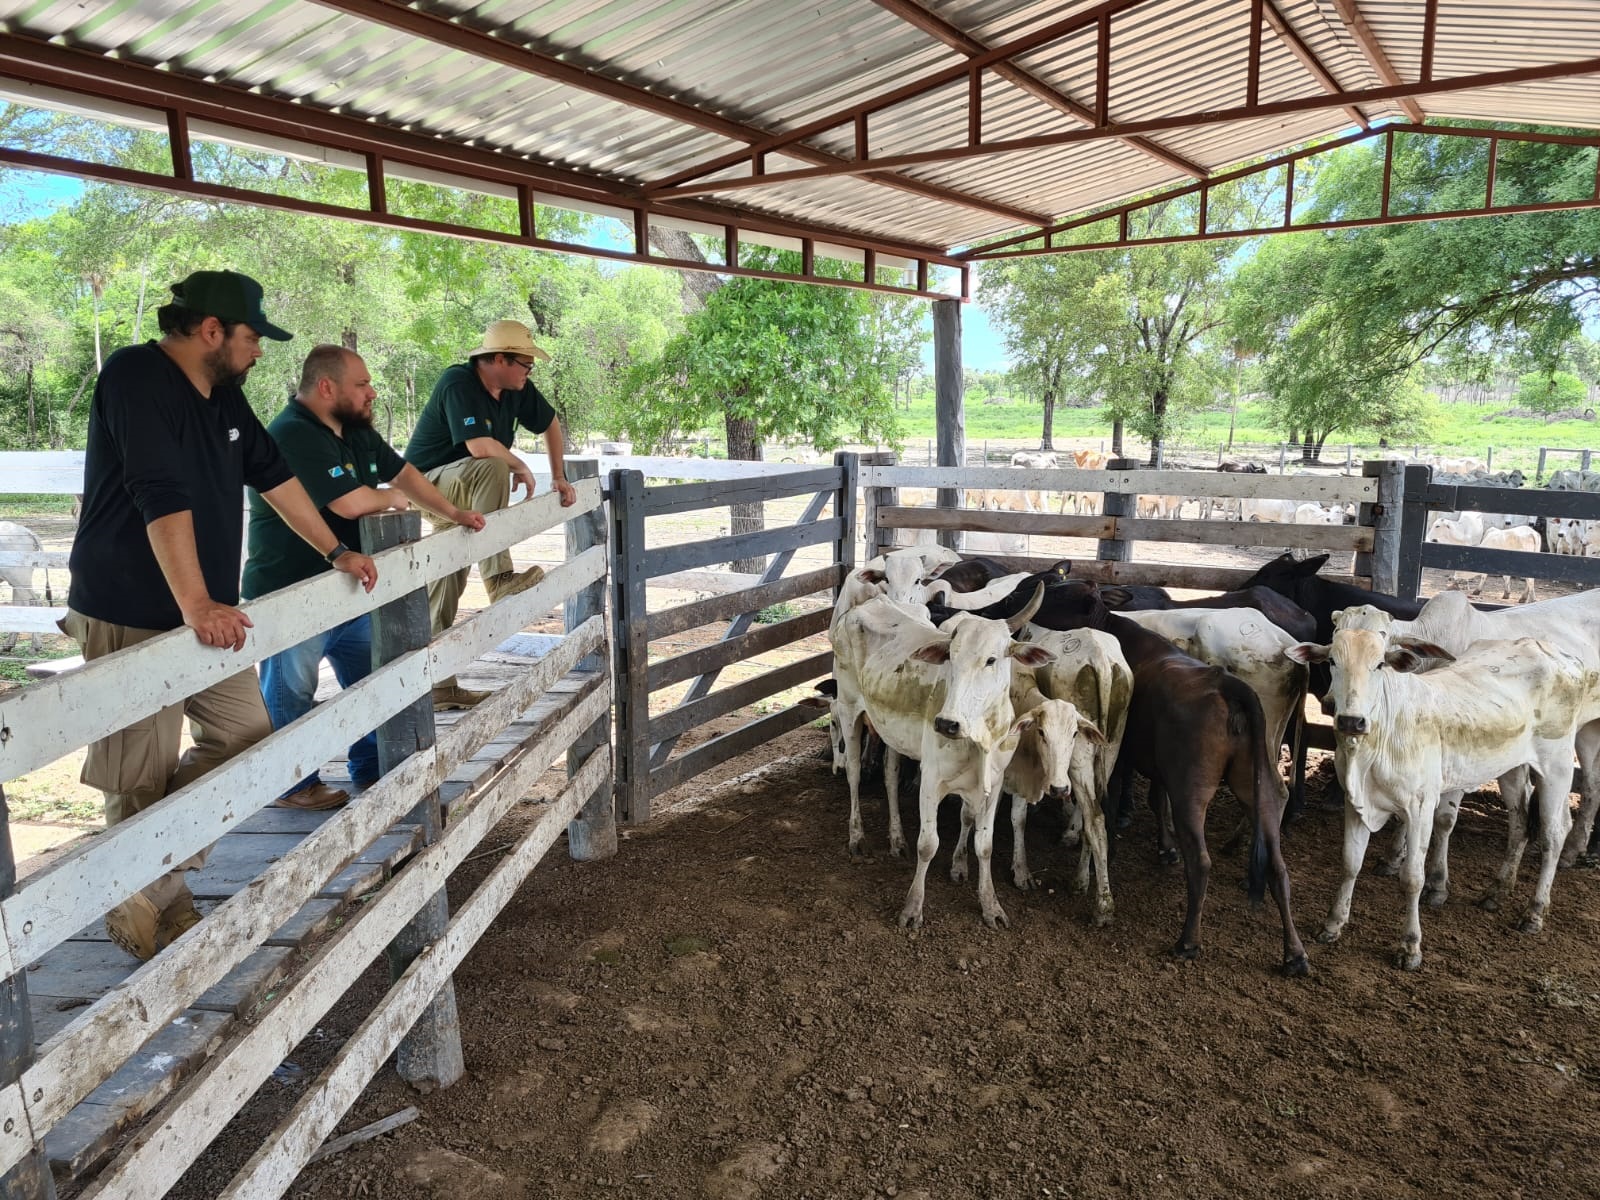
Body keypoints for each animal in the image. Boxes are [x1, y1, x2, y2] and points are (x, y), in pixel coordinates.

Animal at [1292, 633, 1593, 972]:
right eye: (1332, 660)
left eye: (1380, 664)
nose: (1350, 721)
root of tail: (1551, 650)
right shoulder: (1355, 804)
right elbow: (1349, 864)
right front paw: (1333, 924)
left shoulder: (1420, 807)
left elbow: (1412, 878)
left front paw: (1410, 947)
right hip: (1511, 768)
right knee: (1519, 825)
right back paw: (1496, 893)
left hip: (1557, 765)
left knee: (1554, 834)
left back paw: (1534, 912)